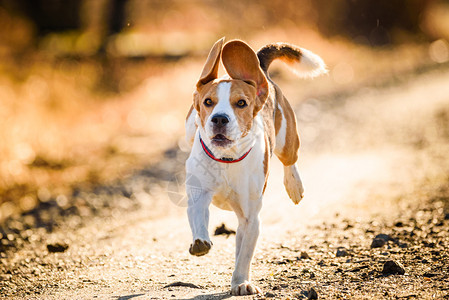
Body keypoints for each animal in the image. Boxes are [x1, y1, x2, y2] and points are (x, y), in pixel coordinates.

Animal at [184, 38, 324, 296]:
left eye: (241, 103)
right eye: (208, 102)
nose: (219, 118)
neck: (226, 159)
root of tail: (261, 72)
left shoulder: (251, 218)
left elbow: (244, 256)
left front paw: (240, 283)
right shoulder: (199, 195)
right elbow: (198, 216)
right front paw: (200, 242)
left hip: (286, 139)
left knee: (289, 160)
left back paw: (294, 186)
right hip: (189, 129)